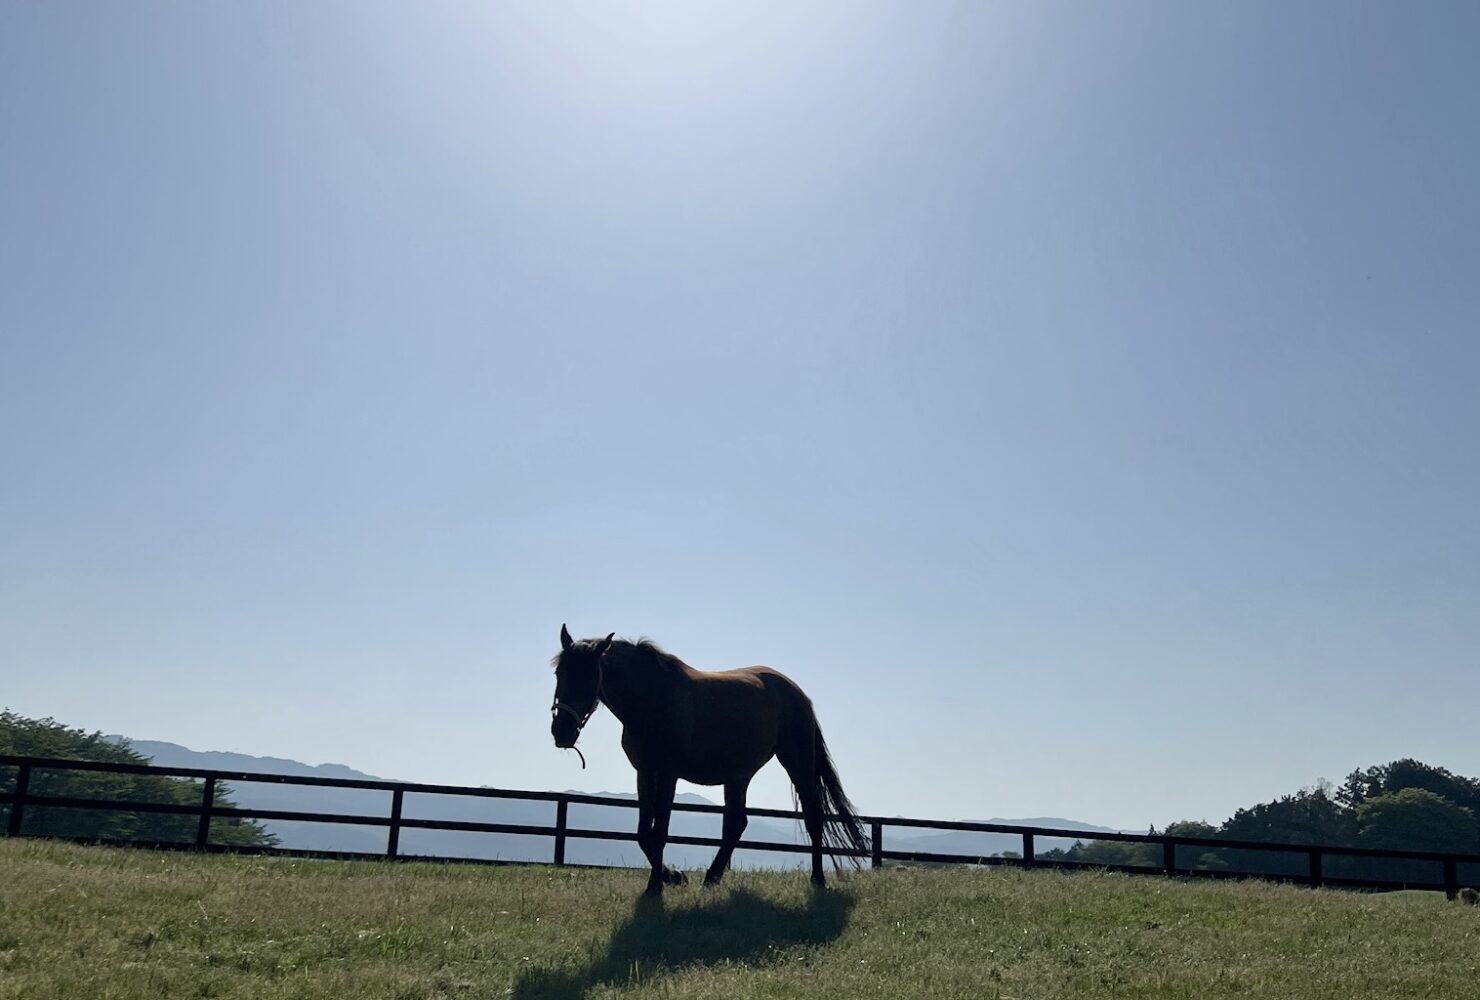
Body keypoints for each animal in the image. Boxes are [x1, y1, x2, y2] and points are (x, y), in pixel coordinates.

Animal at [549, 625, 869, 896]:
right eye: (559, 674)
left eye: (590, 677)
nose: (561, 731)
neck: (652, 698)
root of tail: (797, 692)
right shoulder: (645, 773)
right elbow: (643, 834)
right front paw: (672, 876)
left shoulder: (668, 775)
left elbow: (659, 833)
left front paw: (657, 885)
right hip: (738, 776)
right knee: (736, 824)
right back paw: (712, 877)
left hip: (797, 762)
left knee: (813, 816)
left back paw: (817, 879)